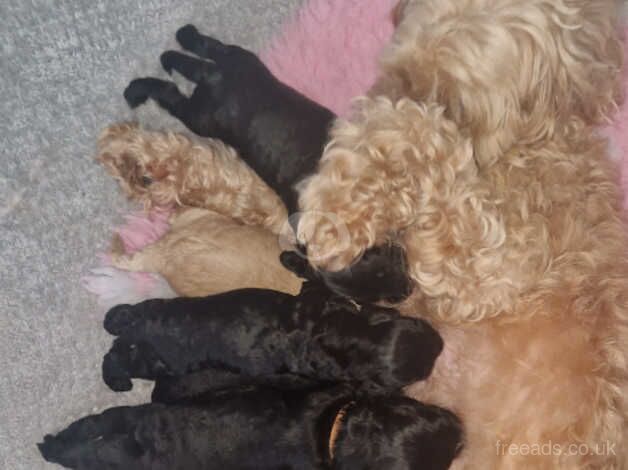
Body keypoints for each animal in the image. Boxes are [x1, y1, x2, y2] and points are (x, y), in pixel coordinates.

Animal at [102, 278, 442, 398]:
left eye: (417, 322)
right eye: (417, 375)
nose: (440, 344)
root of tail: (137, 329)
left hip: (154, 310)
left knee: (124, 322)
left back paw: (115, 315)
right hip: (154, 361)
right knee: (112, 358)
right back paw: (117, 380)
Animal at [124, 24, 414, 304]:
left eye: (395, 264)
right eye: (375, 296)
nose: (407, 291)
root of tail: (217, 80)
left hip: (243, 62)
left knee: (210, 48)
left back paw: (184, 37)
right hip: (200, 116)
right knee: (171, 93)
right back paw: (138, 88)